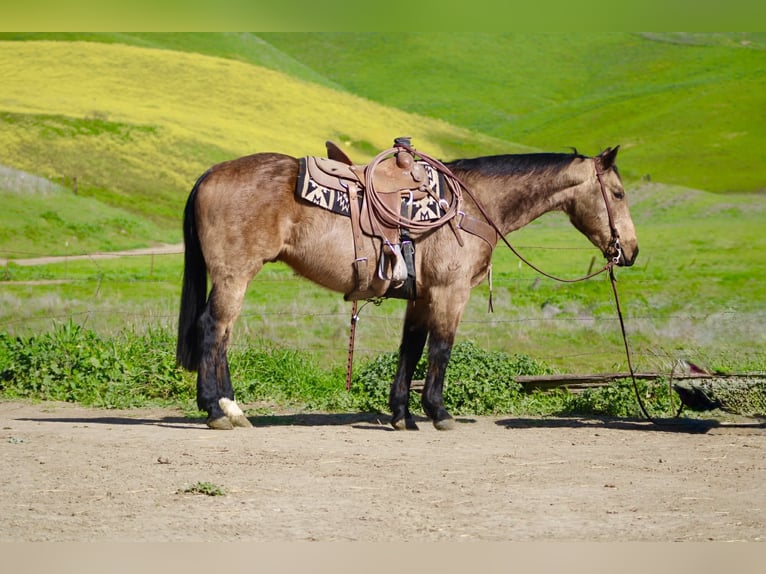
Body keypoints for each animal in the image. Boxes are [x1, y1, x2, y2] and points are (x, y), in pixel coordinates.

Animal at [176, 144, 638, 430]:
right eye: (618, 193)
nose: (630, 251)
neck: (470, 206)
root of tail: (210, 174)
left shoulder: (422, 295)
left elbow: (410, 349)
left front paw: (402, 413)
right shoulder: (450, 292)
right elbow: (441, 348)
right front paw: (438, 410)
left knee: (222, 335)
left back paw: (232, 408)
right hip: (235, 275)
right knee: (213, 329)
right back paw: (219, 409)